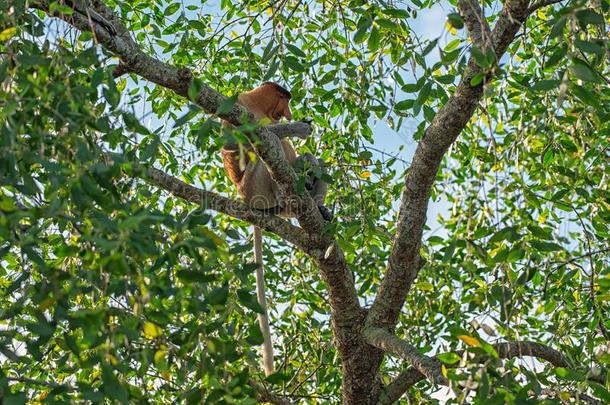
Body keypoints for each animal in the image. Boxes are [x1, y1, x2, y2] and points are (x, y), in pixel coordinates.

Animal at [221, 82, 328, 376]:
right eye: (285, 103)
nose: (289, 114)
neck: (257, 104)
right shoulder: (237, 104)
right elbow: (232, 142)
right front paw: (299, 128)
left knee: (310, 160)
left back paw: (317, 205)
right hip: (255, 188)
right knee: (266, 151)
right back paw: (285, 196)